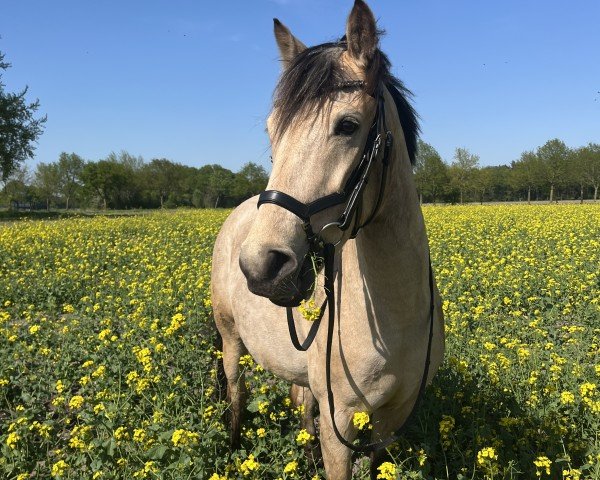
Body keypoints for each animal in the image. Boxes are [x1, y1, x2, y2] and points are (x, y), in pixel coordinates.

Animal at [211, 1, 446, 478]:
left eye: (348, 125)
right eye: (272, 131)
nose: (262, 266)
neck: (397, 314)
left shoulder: (390, 420)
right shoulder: (341, 421)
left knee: (300, 404)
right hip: (230, 339)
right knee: (237, 392)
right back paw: (233, 446)